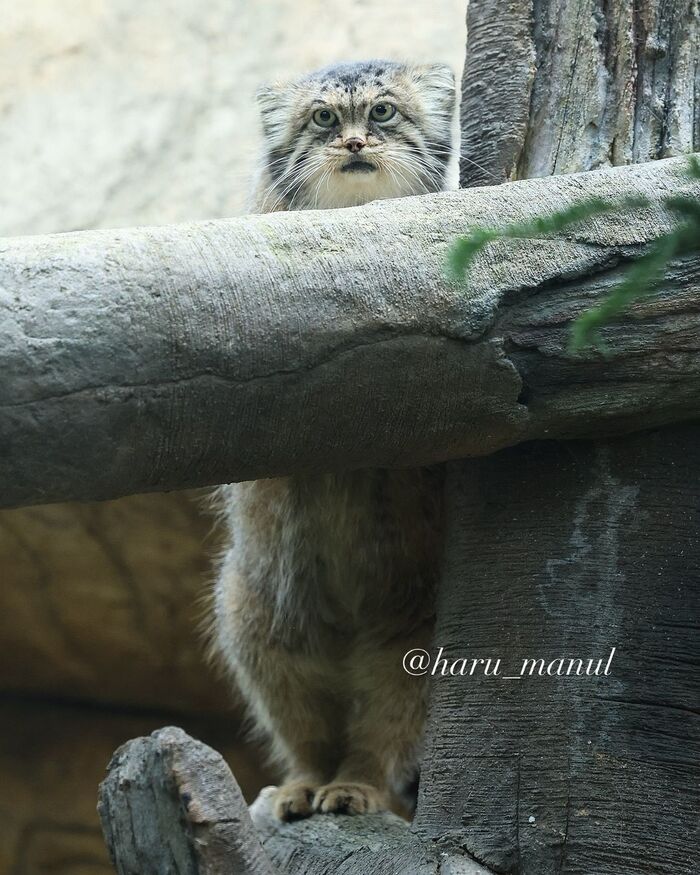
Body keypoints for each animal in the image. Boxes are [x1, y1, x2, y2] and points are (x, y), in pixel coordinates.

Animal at [211, 61, 456, 820]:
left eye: (382, 113)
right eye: (322, 118)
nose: (352, 142)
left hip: (410, 638)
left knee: (382, 729)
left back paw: (358, 786)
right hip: (258, 620)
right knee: (308, 731)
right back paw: (302, 786)